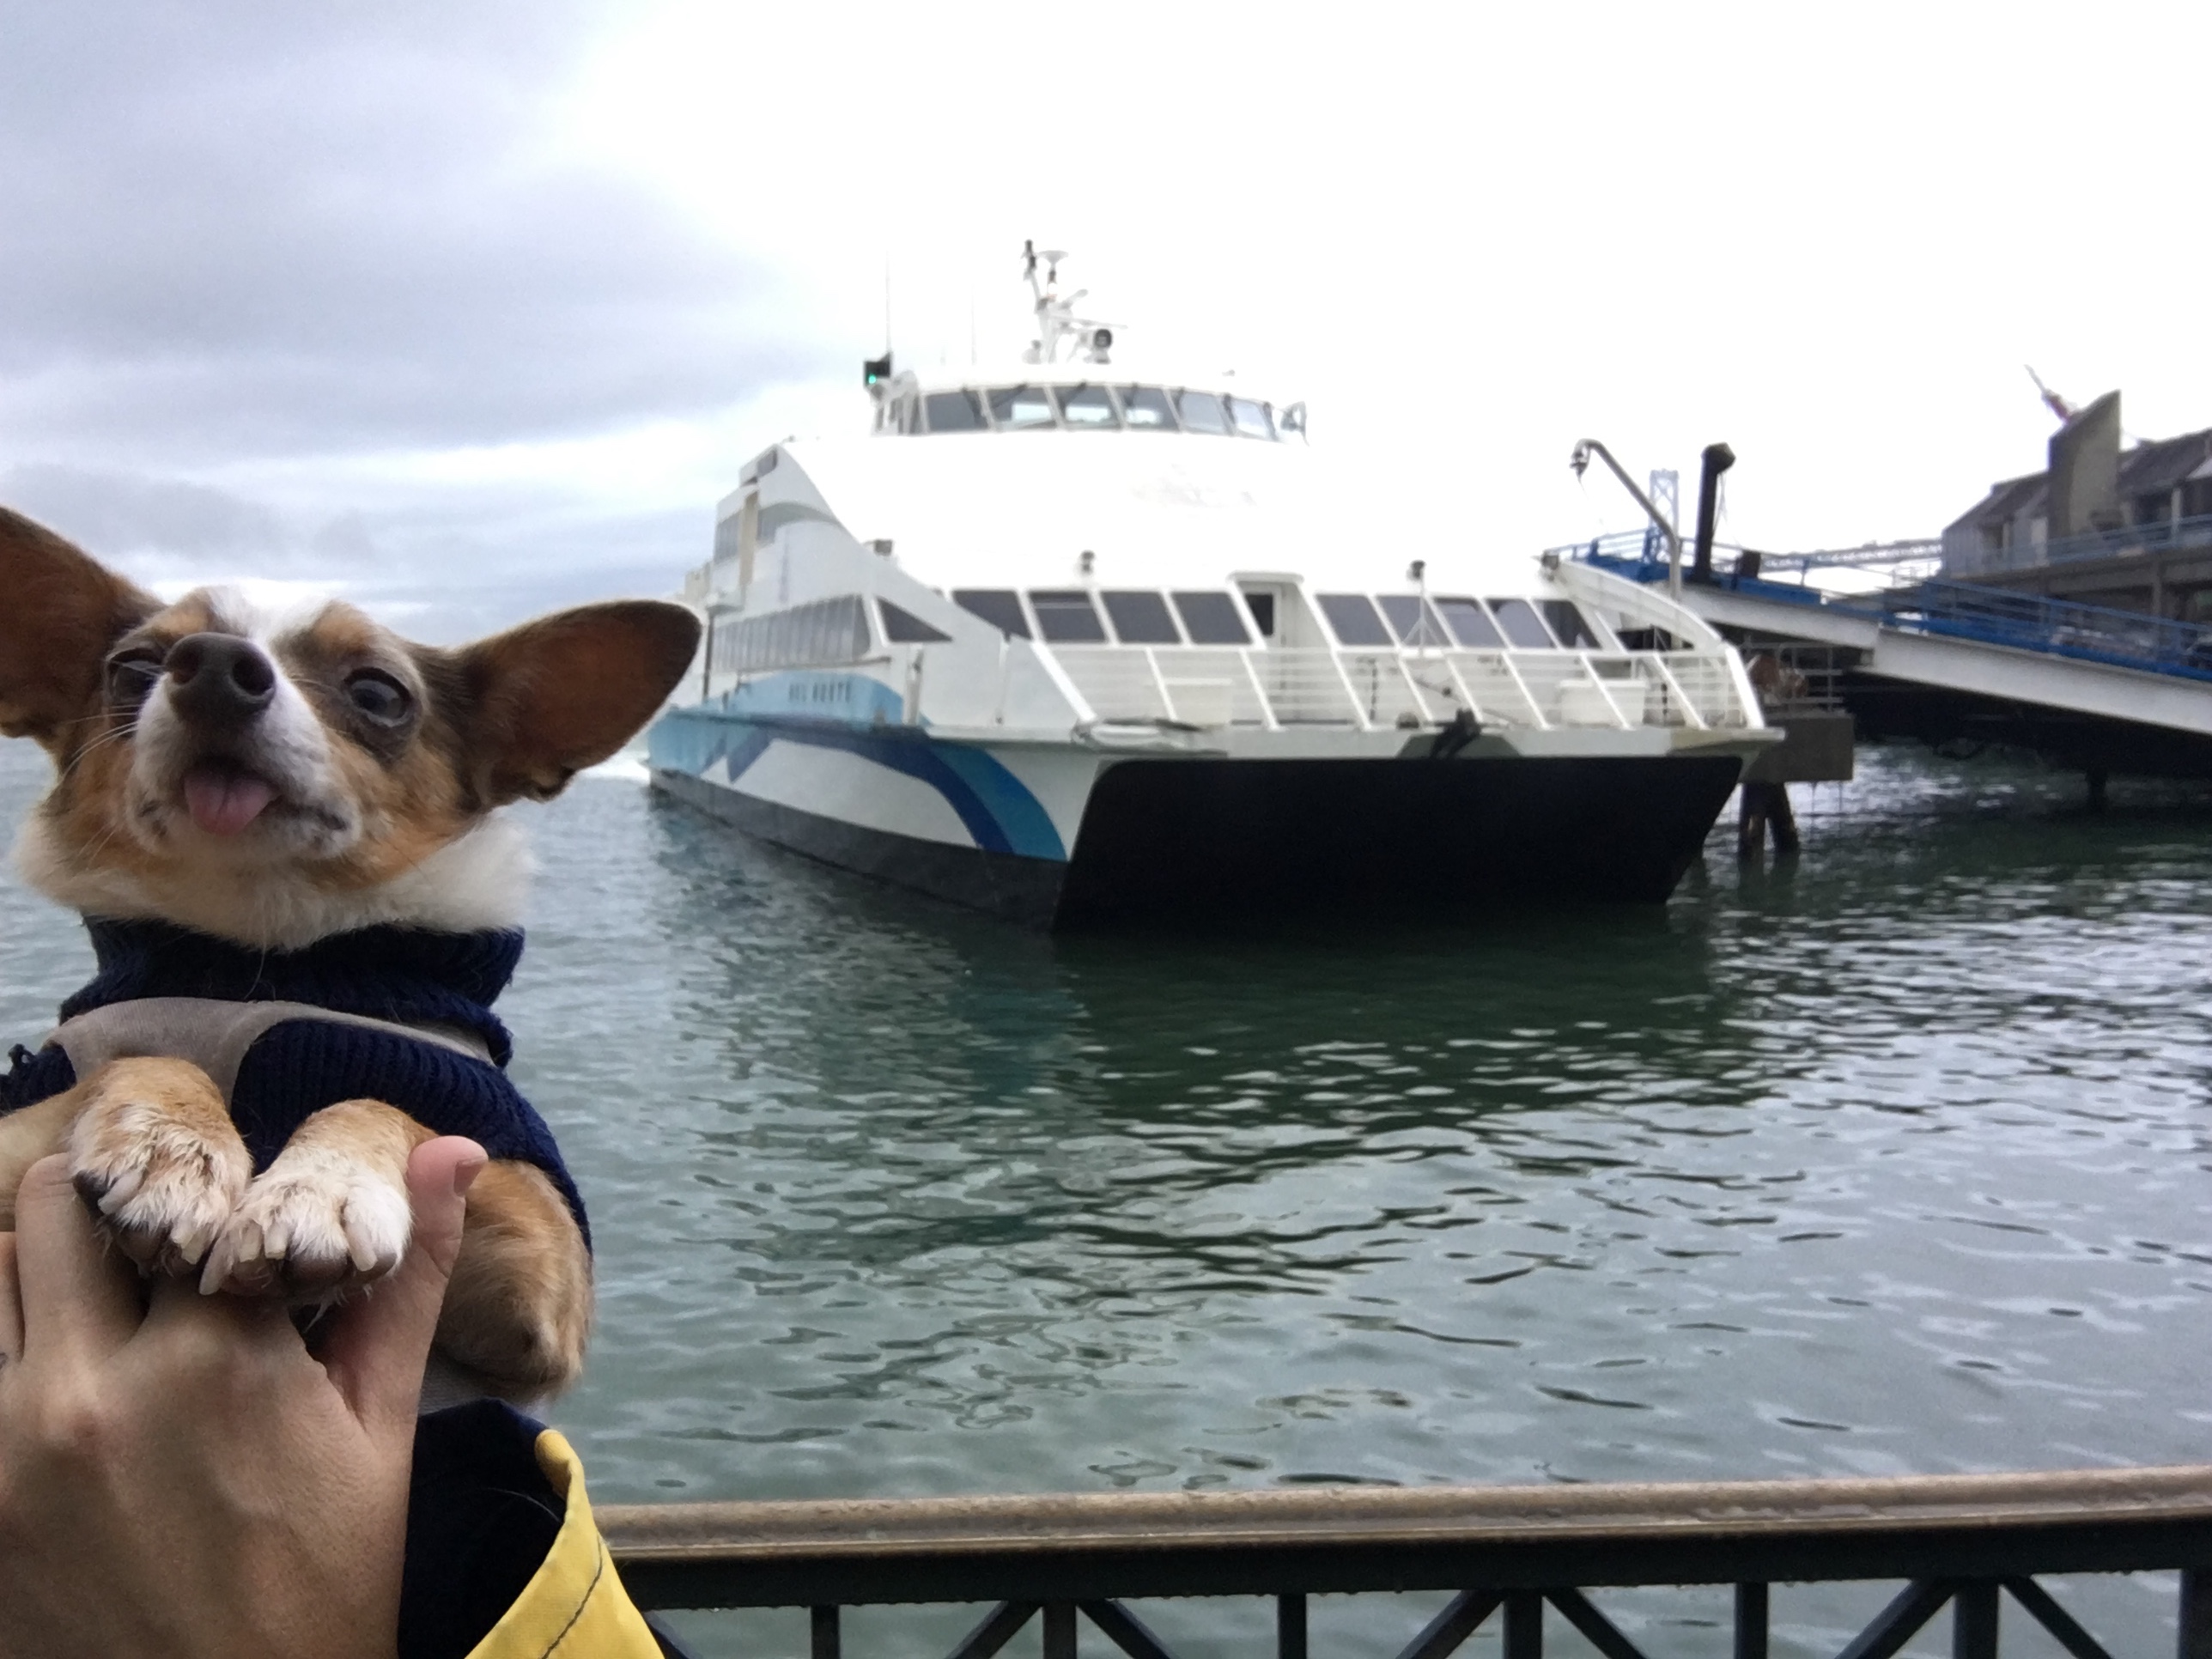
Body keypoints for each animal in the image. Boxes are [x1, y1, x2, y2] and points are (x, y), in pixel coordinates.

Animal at [0, 511, 699, 1407]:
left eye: (377, 693)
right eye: (135, 669)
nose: (215, 665)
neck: (262, 959)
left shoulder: (540, 1272)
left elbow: (386, 1100)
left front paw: (322, 1187)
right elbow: (147, 1052)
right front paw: (173, 1147)